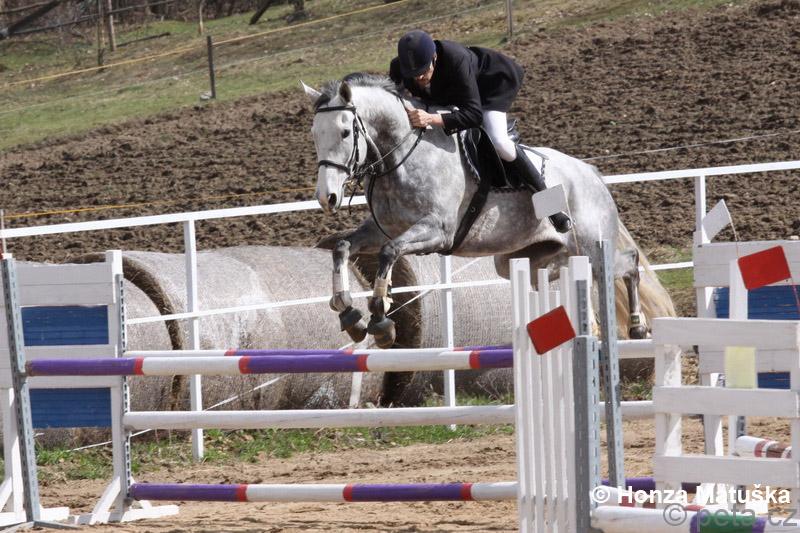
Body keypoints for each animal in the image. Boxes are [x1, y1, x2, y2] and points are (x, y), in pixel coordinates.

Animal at [301, 73, 670, 349]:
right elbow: (342, 247)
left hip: (592, 246)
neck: (401, 157)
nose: (327, 198)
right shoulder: (382, 229)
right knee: (559, 273)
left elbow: (390, 253)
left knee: (628, 264)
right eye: (314, 135)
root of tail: (592, 173)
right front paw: (349, 313)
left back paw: (638, 326)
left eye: (345, 132)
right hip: (524, 259)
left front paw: (380, 318)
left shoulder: (436, 232)